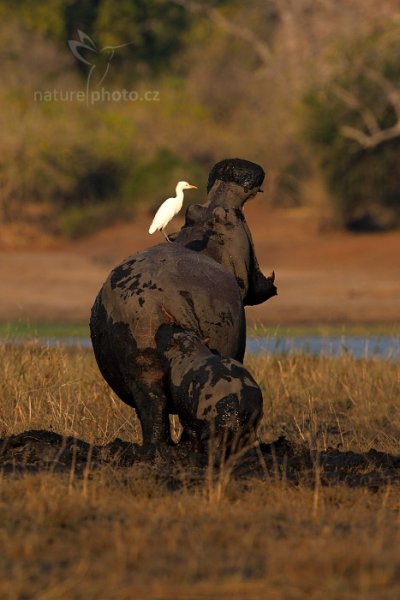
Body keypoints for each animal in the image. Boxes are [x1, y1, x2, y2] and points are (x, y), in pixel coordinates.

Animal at [90, 157, 278, 448]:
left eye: (192, 210)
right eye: (227, 215)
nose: (231, 167)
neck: (208, 236)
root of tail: (162, 299)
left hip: (140, 365)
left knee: (152, 409)